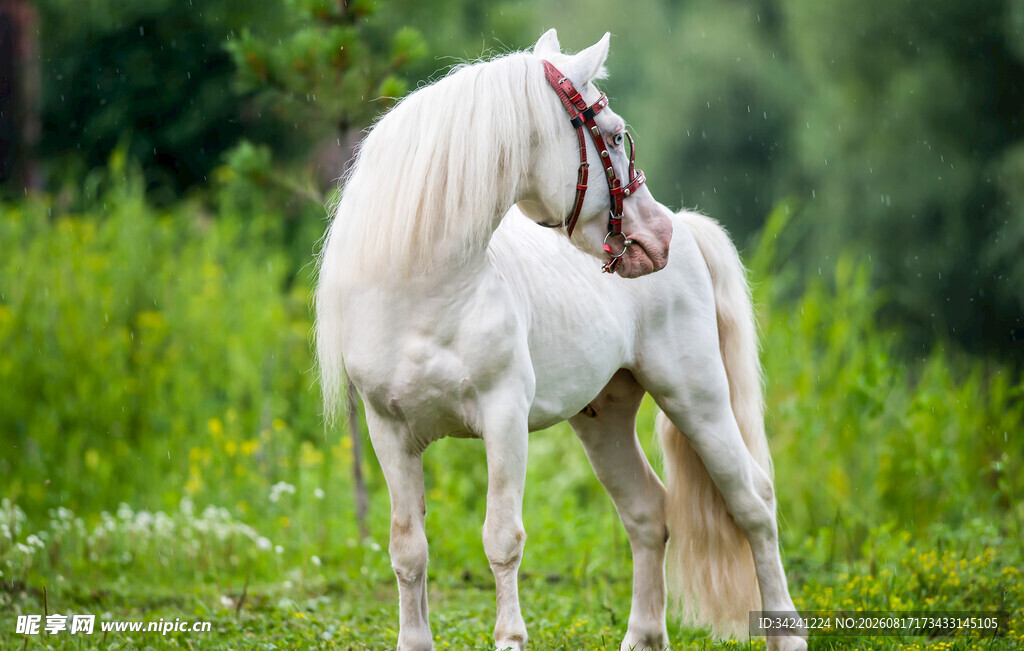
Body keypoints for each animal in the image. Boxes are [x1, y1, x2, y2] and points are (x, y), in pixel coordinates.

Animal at [315, 29, 807, 651]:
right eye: (615, 134)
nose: (658, 237)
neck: (421, 294)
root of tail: (690, 229)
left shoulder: (503, 417)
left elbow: (502, 539)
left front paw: (509, 638)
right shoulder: (389, 430)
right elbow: (408, 548)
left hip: (697, 398)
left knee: (753, 502)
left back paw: (787, 634)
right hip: (603, 417)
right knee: (648, 512)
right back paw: (642, 636)